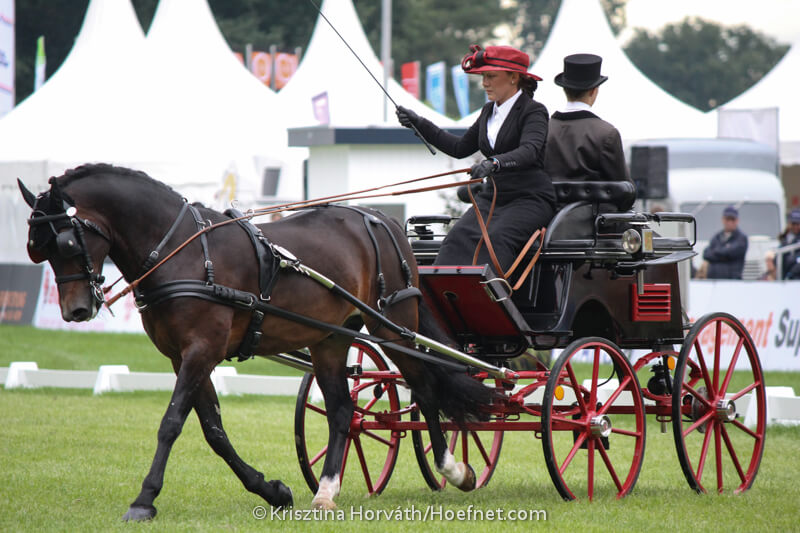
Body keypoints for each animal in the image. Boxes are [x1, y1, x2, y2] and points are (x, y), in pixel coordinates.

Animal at [18, 163, 492, 521]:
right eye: (38, 249)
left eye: (66, 241)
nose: (75, 311)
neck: (182, 252)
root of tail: (384, 219)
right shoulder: (183, 357)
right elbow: (213, 431)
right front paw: (273, 490)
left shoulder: (202, 350)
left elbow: (171, 423)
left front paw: (144, 501)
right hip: (330, 339)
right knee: (344, 410)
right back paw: (326, 490)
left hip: (393, 325)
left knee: (425, 388)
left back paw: (454, 469)